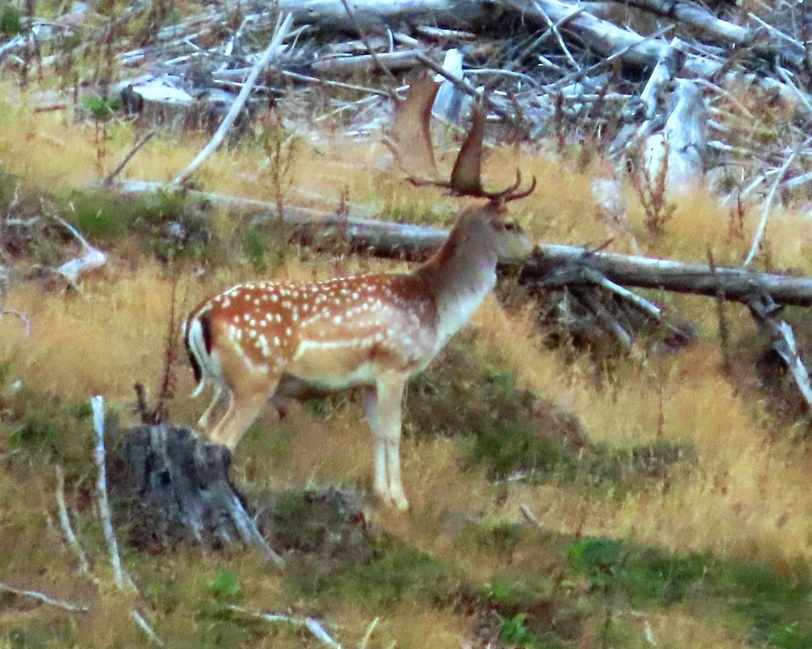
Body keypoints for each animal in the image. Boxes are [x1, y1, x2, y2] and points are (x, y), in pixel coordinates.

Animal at [184, 76, 536, 512]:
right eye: (509, 223)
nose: (538, 252)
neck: (434, 305)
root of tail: (200, 317)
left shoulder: (367, 380)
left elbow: (375, 433)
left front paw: (381, 493)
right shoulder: (393, 364)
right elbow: (392, 432)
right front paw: (399, 500)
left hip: (223, 384)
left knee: (200, 429)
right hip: (255, 379)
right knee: (221, 438)